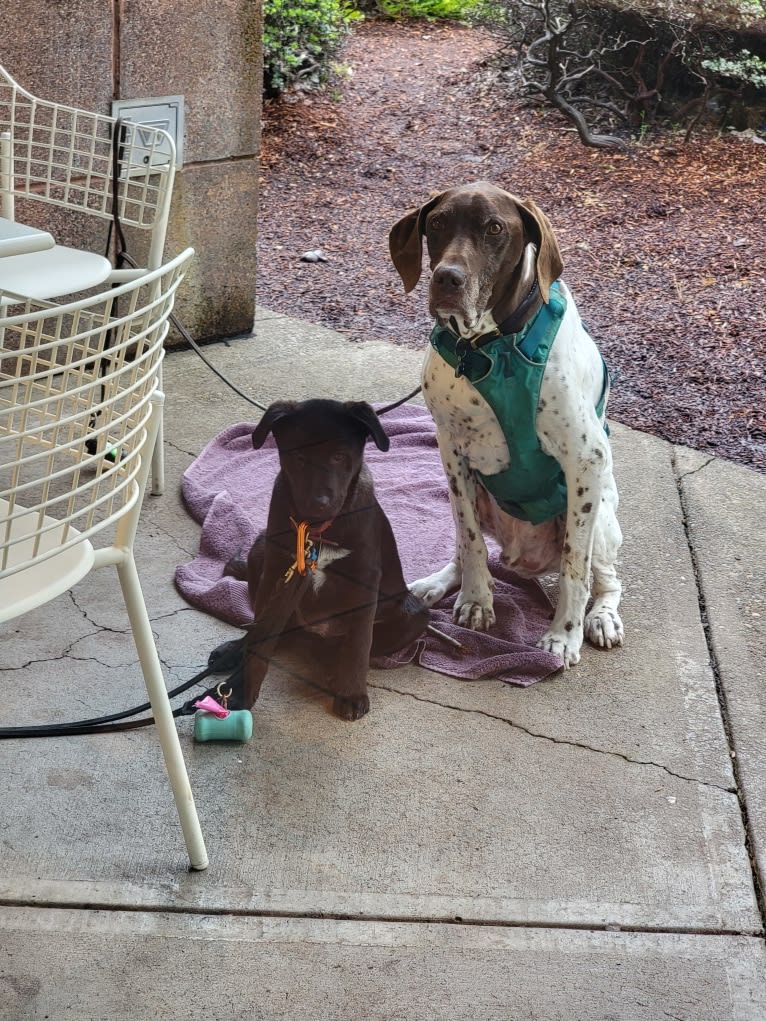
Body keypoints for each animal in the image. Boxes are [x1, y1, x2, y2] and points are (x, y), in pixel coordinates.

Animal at [223, 396, 433, 718]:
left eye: (338, 456)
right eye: (298, 458)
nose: (318, 504)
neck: (318, 531)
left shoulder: (365, 579)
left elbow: (359, 643)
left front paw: (352, 693)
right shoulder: (276, 569)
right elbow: (262, 634)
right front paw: (242, 688)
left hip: (415, 614)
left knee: (345, 646)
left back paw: (333, 667)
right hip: (259, 550)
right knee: (276, 629)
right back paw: (234, 650)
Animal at [390, 179, 625, 665]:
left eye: (495, 228)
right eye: (437, 223)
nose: (447, 278)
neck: (488, 348)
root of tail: (524, 560)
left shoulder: (586, 459)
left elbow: (575, 567)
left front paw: (564, 635)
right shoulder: (450, 449)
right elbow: (471, 542)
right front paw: (477, 600)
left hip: (602, 517)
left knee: (607, 577)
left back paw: (601, 618)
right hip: (467, 491)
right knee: (464, 546)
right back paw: (437, 585)